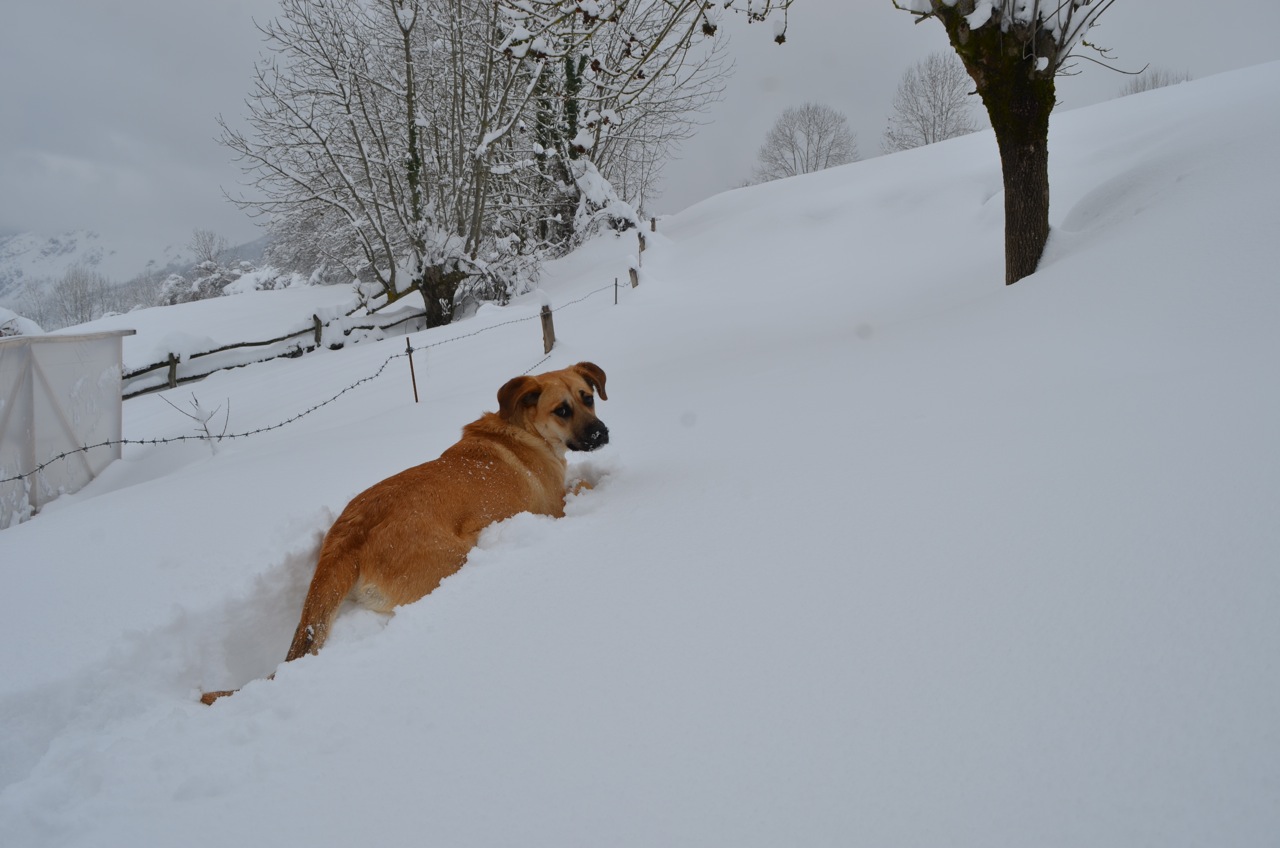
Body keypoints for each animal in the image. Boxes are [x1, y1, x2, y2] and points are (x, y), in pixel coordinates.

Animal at [201, 362, 608, 704]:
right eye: (562, 410)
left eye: (588, 398)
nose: (601, 433)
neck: (523, 430)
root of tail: (349, 536)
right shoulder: (555, 507)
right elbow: (582, 485)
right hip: (455, 558)